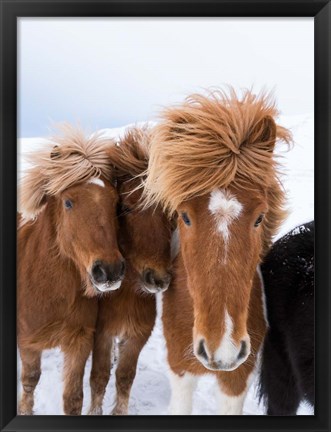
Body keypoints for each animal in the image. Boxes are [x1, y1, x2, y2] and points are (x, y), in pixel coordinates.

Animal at [17, 125, 125, 416]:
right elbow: (30, 380)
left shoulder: (80, 341)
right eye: (68, 202)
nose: (109, 270)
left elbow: (73, 398)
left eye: (115, 203)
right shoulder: (27, 343)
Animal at [87, 127, 174, 416]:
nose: (158, 279)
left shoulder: (137, 335)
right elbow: (99, 376)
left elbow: (125, 376)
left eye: (169, 213)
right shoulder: (101, 333)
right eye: (124, 207)